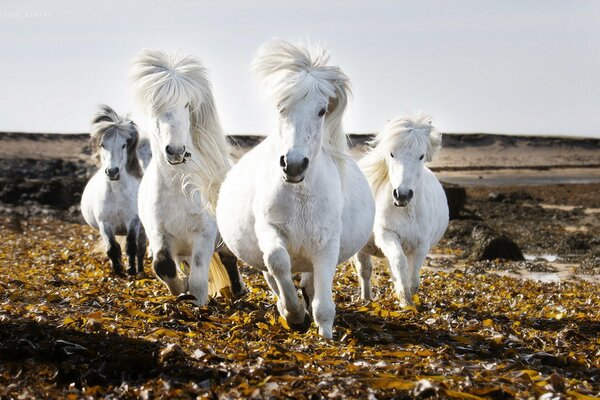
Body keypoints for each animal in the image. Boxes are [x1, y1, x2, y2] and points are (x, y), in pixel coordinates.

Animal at [81, 104, 146, 276]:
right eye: (103, 145)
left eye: (123, 145)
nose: (112, 172)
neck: (117, 193)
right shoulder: (105, 224)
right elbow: (112, 248)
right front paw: (117, 271)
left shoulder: (133, 221)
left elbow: (131, 247)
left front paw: (131, 270)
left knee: (141, 249)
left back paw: (140, 270)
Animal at [130, 48, 245, 304]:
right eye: (156, 107)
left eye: (185, 105)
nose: (175, 151)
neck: (178, 189)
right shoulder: (159, 235)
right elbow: (163, 266)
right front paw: (180, 291)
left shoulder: (204, 235)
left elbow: (200, 281)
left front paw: (198, 302)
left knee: (228, 259)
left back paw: (238, 290)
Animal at [216, 39, 376, 340]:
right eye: (281, 106)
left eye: (322, 110)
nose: (293, 165)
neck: (301, 196)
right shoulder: (270, 230)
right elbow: (277, 262)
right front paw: (295, 316)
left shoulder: (327, 243)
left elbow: (323, 302)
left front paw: (324, 333)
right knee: (273, 274)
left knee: (310, 282)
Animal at [354, 115, 448, 306]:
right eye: (392, 154)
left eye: (421, 156)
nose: (402, 195)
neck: (407, 211)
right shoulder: (387, 235)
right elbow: (399, 262)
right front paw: (405, 300)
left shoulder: (421, 244)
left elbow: (413, 275)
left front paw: (409, 297)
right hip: (362, 249)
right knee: (365, 272)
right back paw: (366, 300)